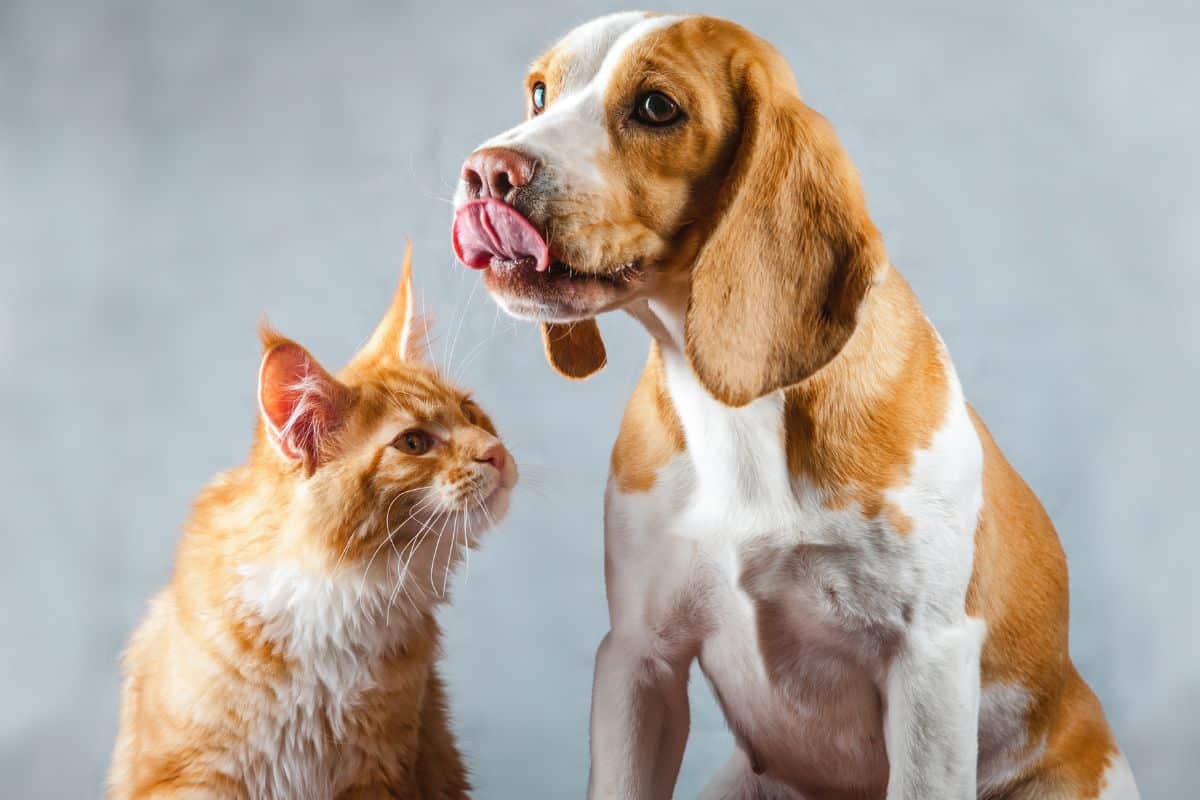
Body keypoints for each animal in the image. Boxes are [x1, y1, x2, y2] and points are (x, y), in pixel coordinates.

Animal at [106, 247, 511, 796]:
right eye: (413, 443)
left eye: (471, 413)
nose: (496, 453)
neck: (336, 592)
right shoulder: (191, 773)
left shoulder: (380, 771)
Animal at [448, 12, 1132, 800]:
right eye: (539, 93)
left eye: (656, 107)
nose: (487, 171)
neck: (737, 414)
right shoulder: (638, 659)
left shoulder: (928, 667)